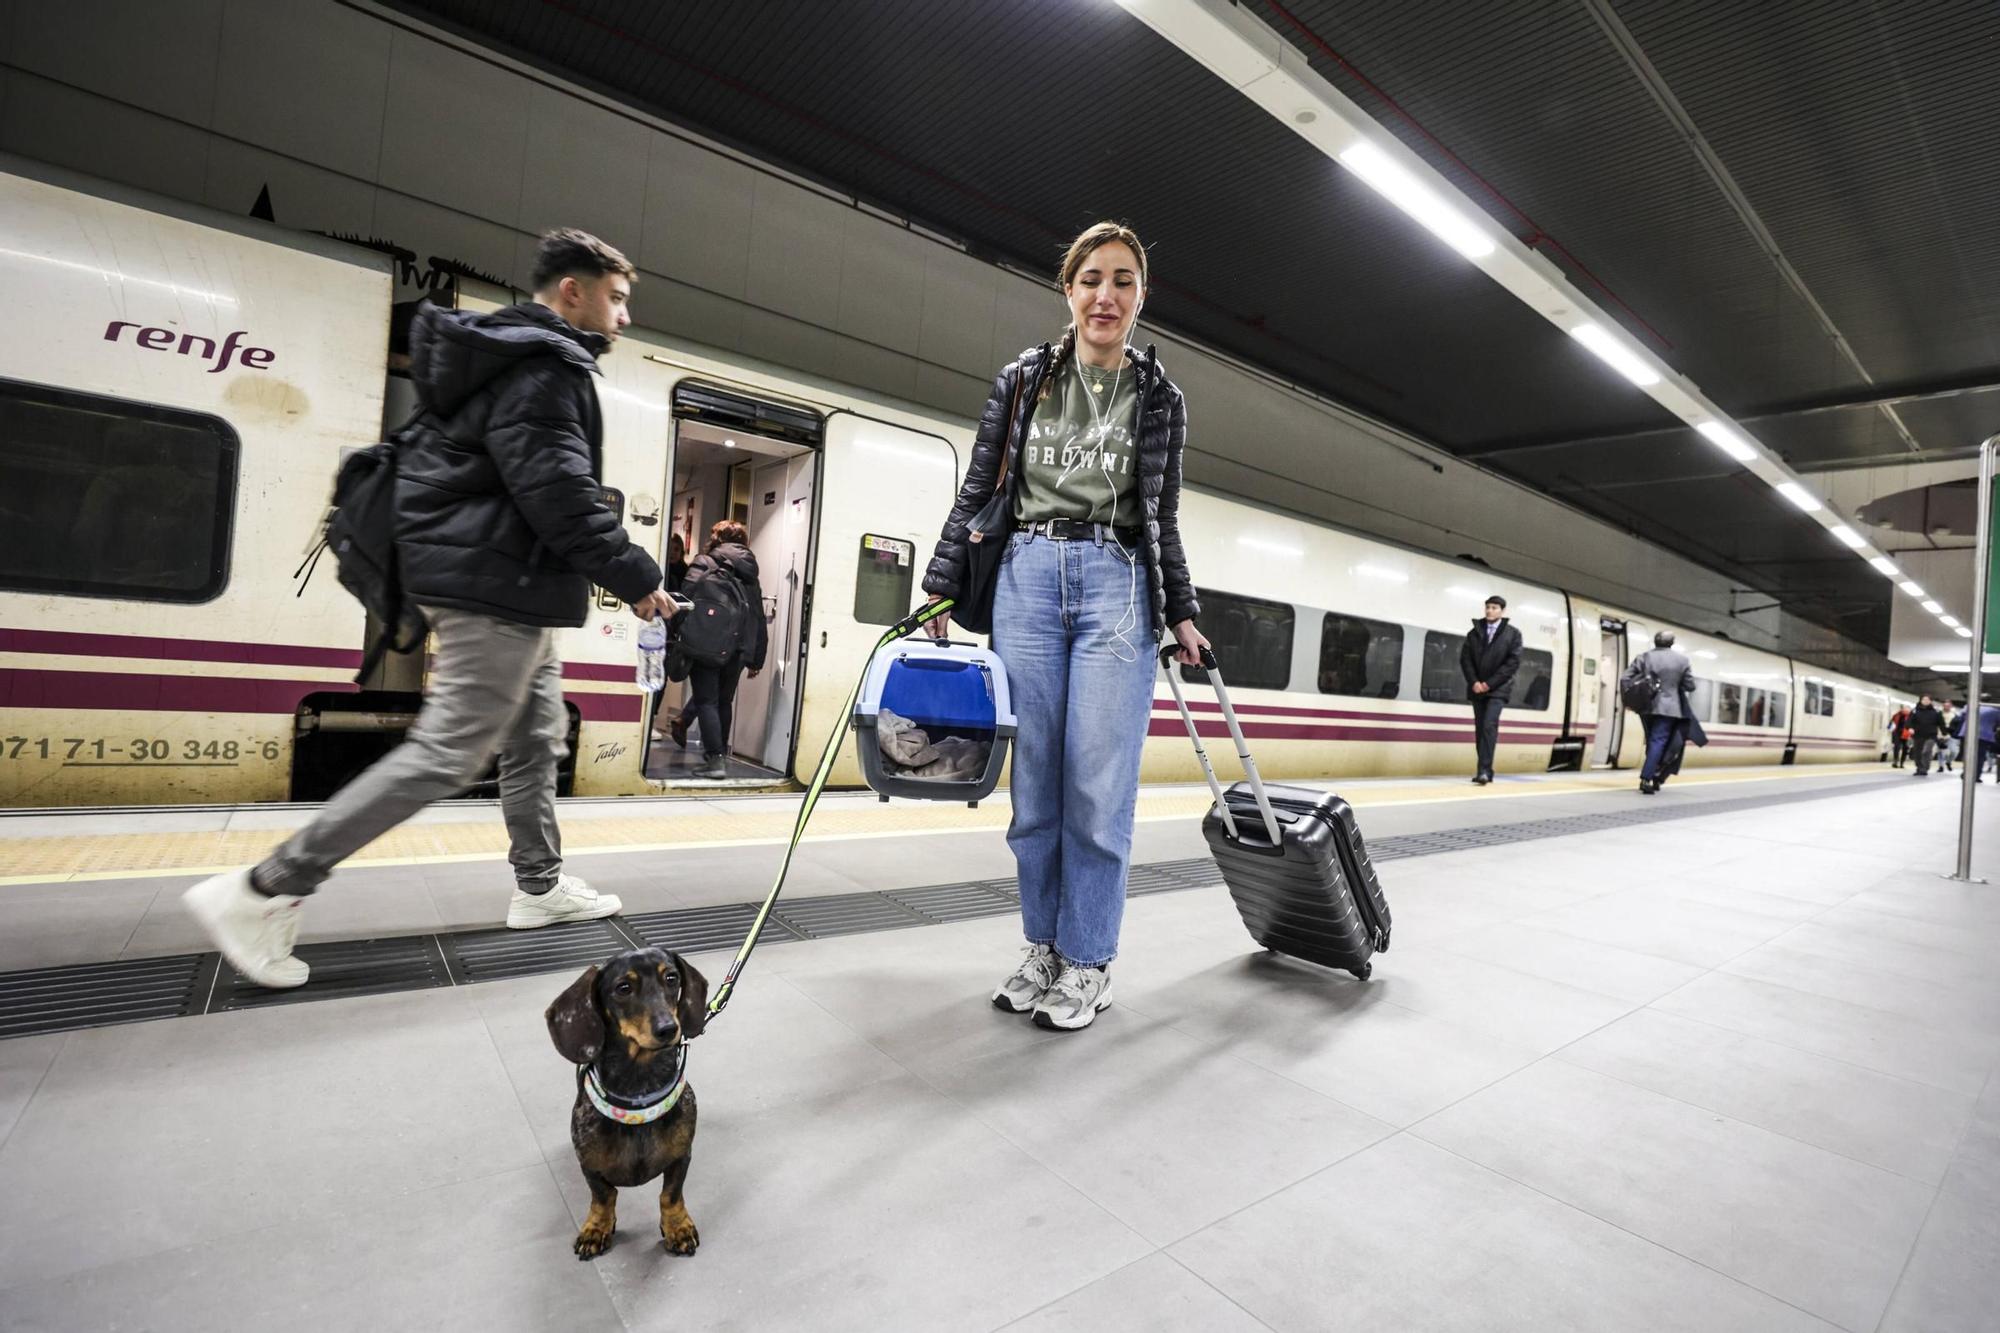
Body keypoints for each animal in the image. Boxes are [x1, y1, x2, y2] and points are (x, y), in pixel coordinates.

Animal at [544, 944, 708, 1256]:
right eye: (623, 988)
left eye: (671, 978)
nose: (668, 1029)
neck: (640, 1097)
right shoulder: (590, 1166)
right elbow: (603, 1197)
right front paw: (596, 1228)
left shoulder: (682, 1156)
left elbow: (670, 1195)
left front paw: (677, 1227)